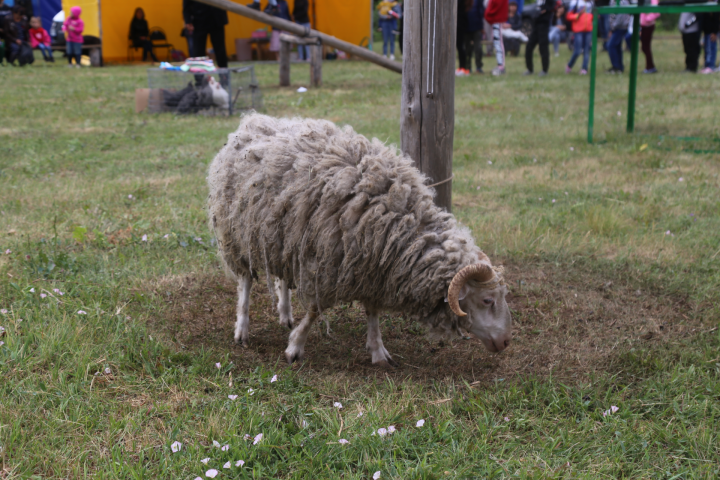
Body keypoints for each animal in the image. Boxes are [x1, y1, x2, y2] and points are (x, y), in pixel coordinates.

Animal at [207, 113, 512, 368]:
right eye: (487, 300)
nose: (506, 341)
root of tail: (253, 121)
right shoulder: (329, 263)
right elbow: (316, 310)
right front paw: (295, 348)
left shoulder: (371, 268)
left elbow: (373, 313)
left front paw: (378, 351)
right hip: (237, 237)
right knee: (245, 282)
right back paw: (242, 329)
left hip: (281, 238)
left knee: (282, 277)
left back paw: (285, 314)